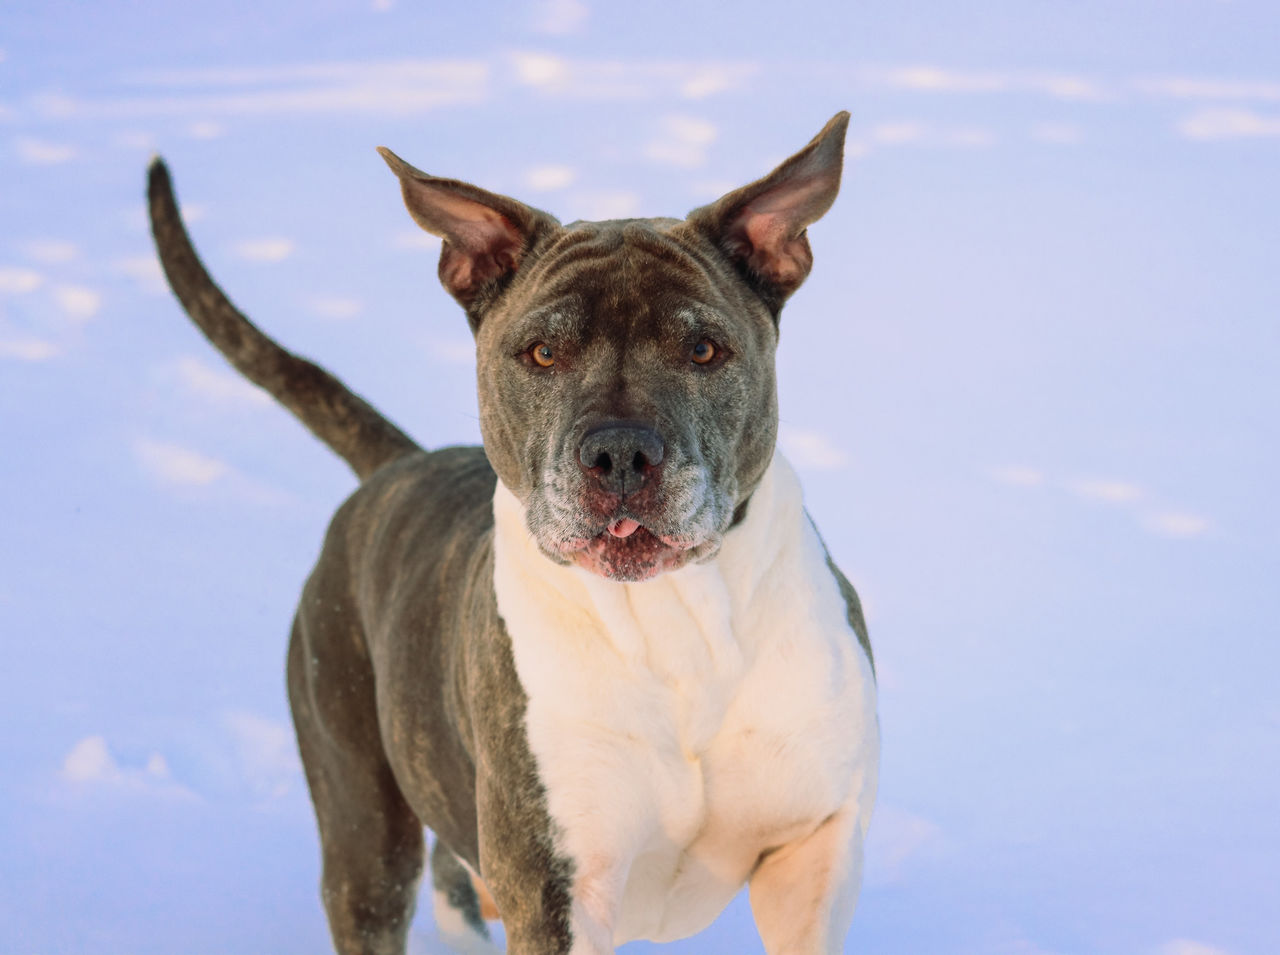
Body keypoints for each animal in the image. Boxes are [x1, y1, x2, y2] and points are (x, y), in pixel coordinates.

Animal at [145, 113, 875, 952]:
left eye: (704, 349)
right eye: (542, 352)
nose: (619, 453)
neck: (675, 619)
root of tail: (398, 465)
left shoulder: (811, 853)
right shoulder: (553, 887)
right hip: (363, 832)